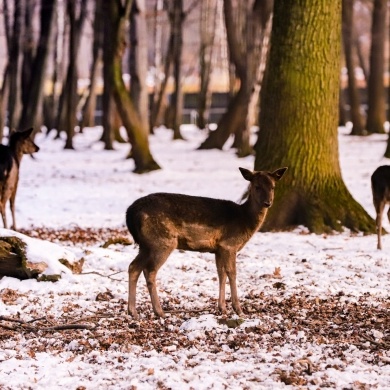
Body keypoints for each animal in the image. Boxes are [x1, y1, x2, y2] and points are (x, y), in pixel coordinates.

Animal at [126, 166, 288, 318]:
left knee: (134, 267)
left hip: (146, 244)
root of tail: (130, 212)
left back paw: (133, 311)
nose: (268, 203)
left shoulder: (218, 248)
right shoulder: (229, 244)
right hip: (162, 241)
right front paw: (238, 310)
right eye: (256, 186)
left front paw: (222, 308)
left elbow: (221, 274)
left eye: (273, 187)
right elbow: (232, 273)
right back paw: (159, 312)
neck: (244, 220)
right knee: (150, 270)